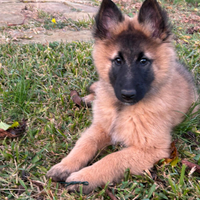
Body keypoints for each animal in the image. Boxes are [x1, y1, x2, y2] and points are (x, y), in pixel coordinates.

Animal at [46, 0, 197, 194]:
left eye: (143, 61)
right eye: (118, 60)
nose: (127, 94)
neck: (122, 109)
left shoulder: (151, 149)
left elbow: (112, 159)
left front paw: (84, 178)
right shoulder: (100, 127)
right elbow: (84, 145)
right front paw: (65, 165)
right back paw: (89, 98)